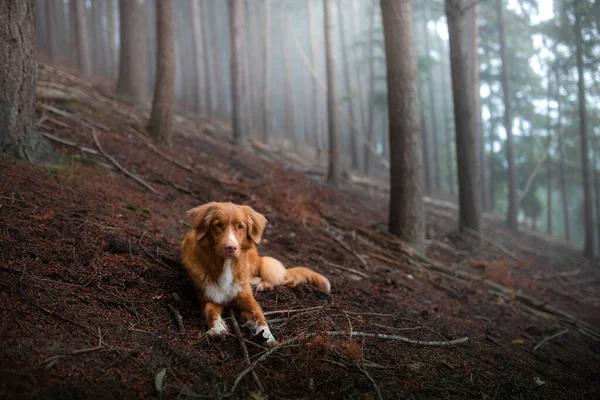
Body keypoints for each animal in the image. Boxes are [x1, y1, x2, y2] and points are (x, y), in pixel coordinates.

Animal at [183, 202, 332, 346]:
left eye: (240, 226)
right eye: (218, 225)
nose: (231, 247)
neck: (227, 265)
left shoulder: (249, 300)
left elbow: (261, 319)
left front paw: (269, 338)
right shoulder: (210, 298)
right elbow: (210, 312)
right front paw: (217, 329)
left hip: (257, 263)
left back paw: (264, 285)